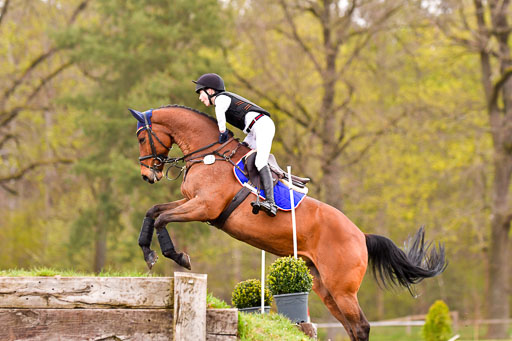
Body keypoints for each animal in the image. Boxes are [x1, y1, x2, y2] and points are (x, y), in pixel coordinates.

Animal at [130, 105, 446, 338]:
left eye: (141, 138)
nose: (148, 175)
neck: (209, 155)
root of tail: (361, 236)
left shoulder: (203, 207)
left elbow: (163, 220)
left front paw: (178, 256)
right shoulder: (191, 202)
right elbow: (153, 212)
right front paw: (148, 253)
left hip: (342, 289)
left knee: (361, 326)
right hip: (324, 287)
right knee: (350, 326)